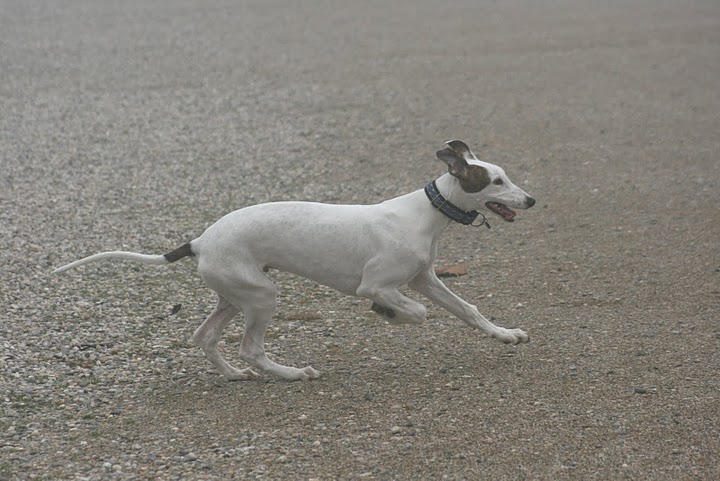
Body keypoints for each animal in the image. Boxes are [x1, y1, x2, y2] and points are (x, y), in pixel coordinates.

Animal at [54, 140, 536, 381]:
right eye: (495, 181)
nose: (531, 200)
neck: (424, 214)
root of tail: (200, 240)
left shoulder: (425, 280)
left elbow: (468, 310)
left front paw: (505, 334)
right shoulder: (377, 284)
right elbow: (413, 311)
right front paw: (391, 315)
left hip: (236, 295)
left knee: (206, 337)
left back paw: (233, 375)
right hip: (262, 297)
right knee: (250, 347)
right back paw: (291, 373)